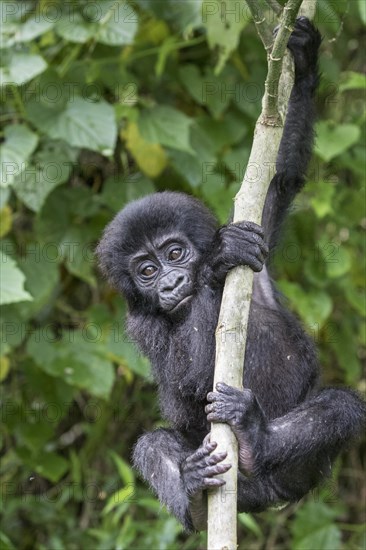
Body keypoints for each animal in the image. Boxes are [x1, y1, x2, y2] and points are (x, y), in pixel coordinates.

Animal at [97, 18, 366, 536]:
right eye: (146, 271)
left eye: (175, 252)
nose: (170, 284)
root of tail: (269, 499)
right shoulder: (139, 323)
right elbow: (185, 386)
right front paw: (217, 262)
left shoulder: (256, 226)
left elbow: (281, 177)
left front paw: (303, 63)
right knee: (153, 445)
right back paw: (194, 493)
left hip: (301, 473)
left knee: (342, 407)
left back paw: (257, 438)